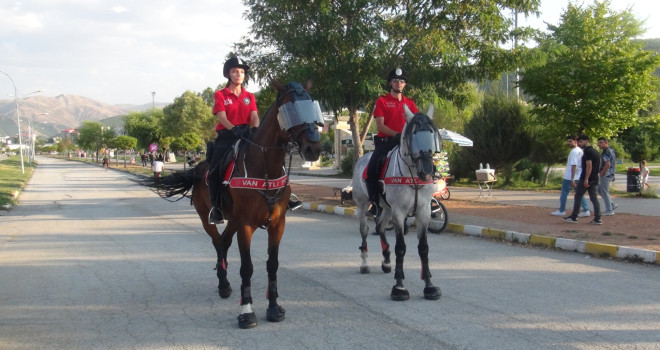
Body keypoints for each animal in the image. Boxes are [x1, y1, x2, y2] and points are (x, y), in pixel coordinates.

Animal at [144, 79, 322, 328]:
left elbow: (272, 265)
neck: (264, 168)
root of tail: (197, 168)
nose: (313, 148)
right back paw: (223, 284)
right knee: (218, 242)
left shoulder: (277, 224)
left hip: (233, 220)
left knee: (224, 242)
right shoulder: (246, 225)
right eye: (290, 110)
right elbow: (247, 268)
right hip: (208, 217)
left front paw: (274, 308)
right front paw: (247, 312)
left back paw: (225, 284)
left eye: (312, 107)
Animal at [350, 104, 444, 300]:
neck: (413, 176)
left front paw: (429, 286)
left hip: (386, 208)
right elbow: (400, 247)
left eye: (432, 135)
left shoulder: (424, 211)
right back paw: (364, 263)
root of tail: (362, 159)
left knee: (380, 226)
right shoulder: (399, 212)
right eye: (413, 135)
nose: (427, 171)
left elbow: (423, 248)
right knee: (365, 230)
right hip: (363, 204)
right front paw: (399, 286)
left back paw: (386, 261)